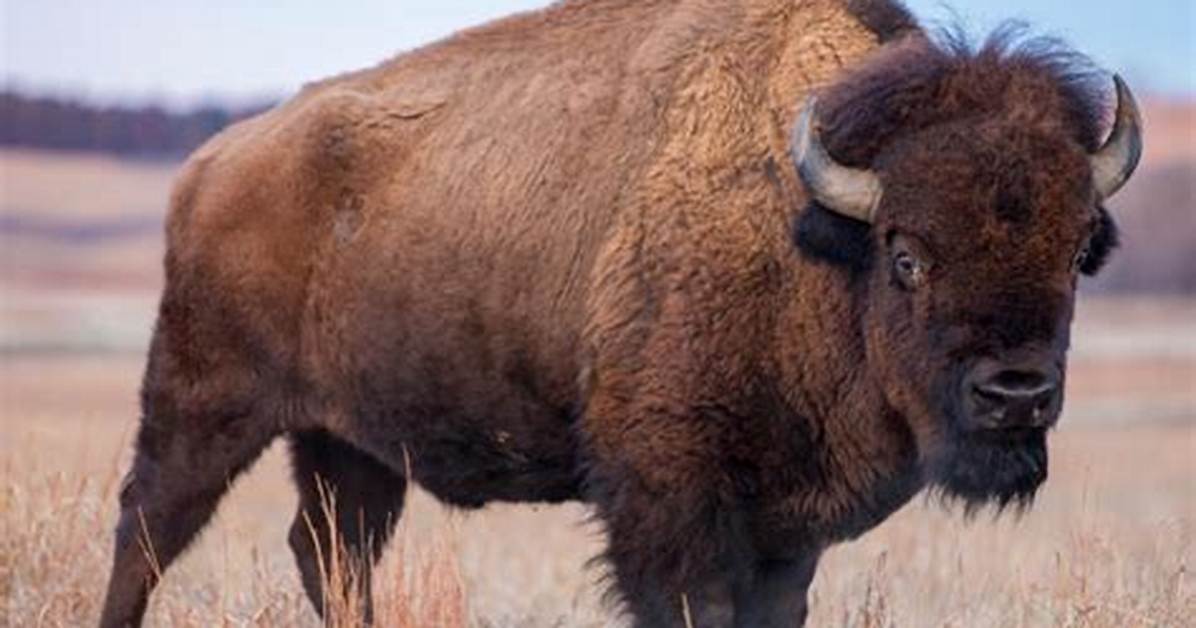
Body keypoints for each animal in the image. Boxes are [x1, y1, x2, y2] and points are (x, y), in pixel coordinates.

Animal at [99, 0, 1142, 626]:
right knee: (149, 527)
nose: (1015, 393)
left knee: (330, 553)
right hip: (203, 403)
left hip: (348, 444)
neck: (809, 237)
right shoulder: (668, 506)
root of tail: (214, 161)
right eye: (908, 254)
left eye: (1075, 251)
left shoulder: (785, 535)